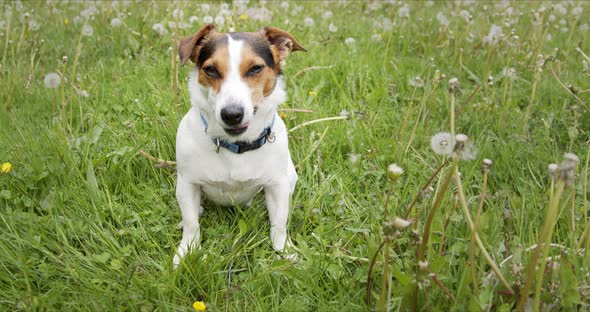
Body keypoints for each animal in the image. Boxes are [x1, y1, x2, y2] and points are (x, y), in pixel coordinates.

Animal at [173, 25, 306, 268]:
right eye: (211, 69)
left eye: (255, 68)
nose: (232, 114)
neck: (235, 146)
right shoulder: (187, 183)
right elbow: (191, 224)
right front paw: (186, 252)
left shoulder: (277, 186)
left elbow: (279, 225)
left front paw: (285, 252)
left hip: (290, 175)